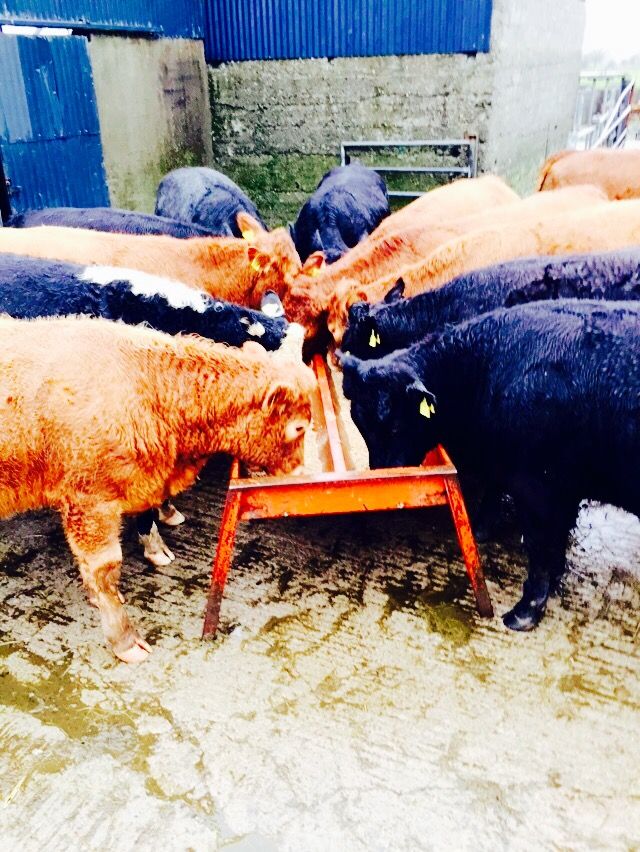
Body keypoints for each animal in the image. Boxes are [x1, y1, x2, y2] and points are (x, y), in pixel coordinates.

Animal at [0, 315, 316, 661]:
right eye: (299, 427)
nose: (301, 471)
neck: (149, 387)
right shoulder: (90, 505)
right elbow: (105, 570)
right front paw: (124, 639)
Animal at [340, 300, 640, 632]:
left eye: (393, 425)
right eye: (359, 421)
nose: (383, 473)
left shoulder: (536, 487)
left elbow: (539, 546)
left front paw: (525, 611)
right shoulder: (561, 489)